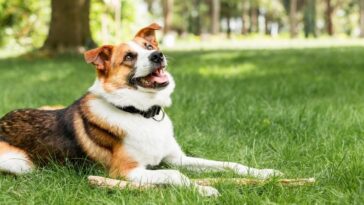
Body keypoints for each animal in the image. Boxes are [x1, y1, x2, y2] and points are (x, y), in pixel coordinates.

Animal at [0, 23, 282, 196]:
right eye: (129, 57)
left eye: (149, 48)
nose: (158, 55)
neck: (141, 113)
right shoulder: (126, 172)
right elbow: (174, 176)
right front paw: (202, 189)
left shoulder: (177, 157)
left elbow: (228, 164)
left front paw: (265, 173)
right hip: (20, 164)